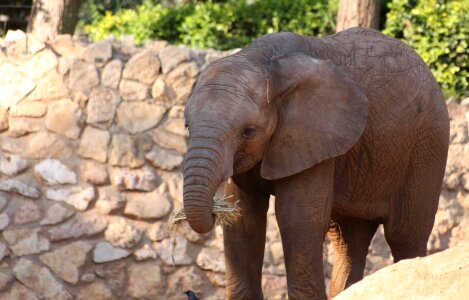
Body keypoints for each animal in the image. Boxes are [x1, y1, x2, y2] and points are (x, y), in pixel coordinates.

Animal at [181, 27, 448, 298]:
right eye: (187, 126)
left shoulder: (315, 137)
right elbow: (244, 220)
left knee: (405, 235)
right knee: (349, 241)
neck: (261, 60)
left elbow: (297, 219)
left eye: (248, 132)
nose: (213, 210)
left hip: (428, 144)